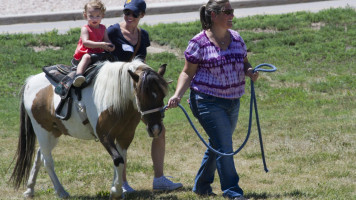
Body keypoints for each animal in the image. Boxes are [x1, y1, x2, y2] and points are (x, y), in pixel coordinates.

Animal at [9, 58, 169, 199]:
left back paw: (30, 189)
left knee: (39, 155)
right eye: (142, 95)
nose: (156, 129)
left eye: (162, 94)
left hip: (54, 132)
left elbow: (121, 160)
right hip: (42, 130)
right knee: (47, 161)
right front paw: (116, 191)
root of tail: (30, 82)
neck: (115, 98)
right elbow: (118, 160)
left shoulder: (125, 136)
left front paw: (116, 188)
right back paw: (61, 191)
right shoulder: (104, 135)